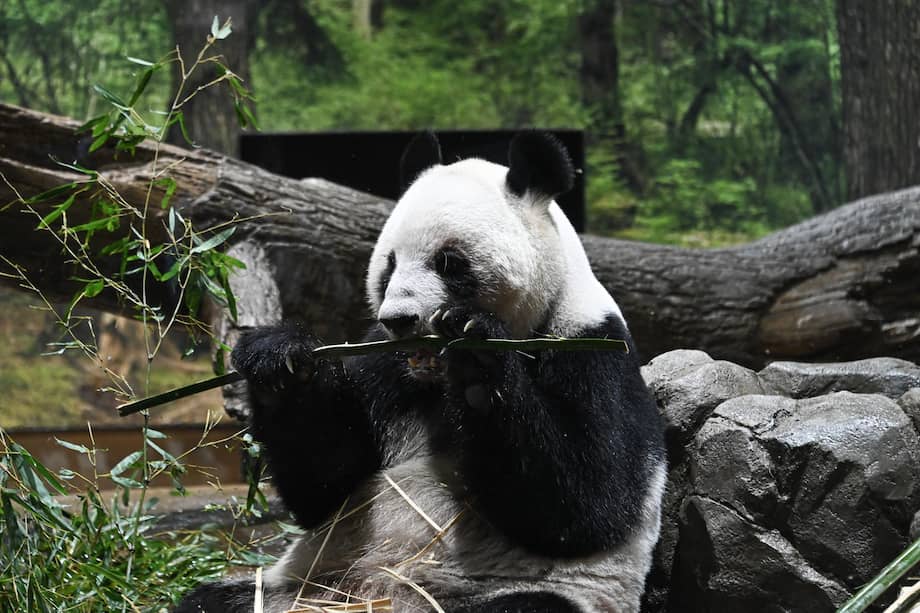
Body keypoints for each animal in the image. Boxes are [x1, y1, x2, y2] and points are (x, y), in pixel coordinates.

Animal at [176, 132, 666, 613]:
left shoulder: (591, 347)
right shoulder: (381, 364)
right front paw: (281, 362)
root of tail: (381, 595)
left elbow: (588, 504)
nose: (399, 319)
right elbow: (325, 486)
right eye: (389, 263)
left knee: (533, 605)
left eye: (449, 262)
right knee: (213, 601)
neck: (433, 381)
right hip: (306, 587)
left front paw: (477, 357)